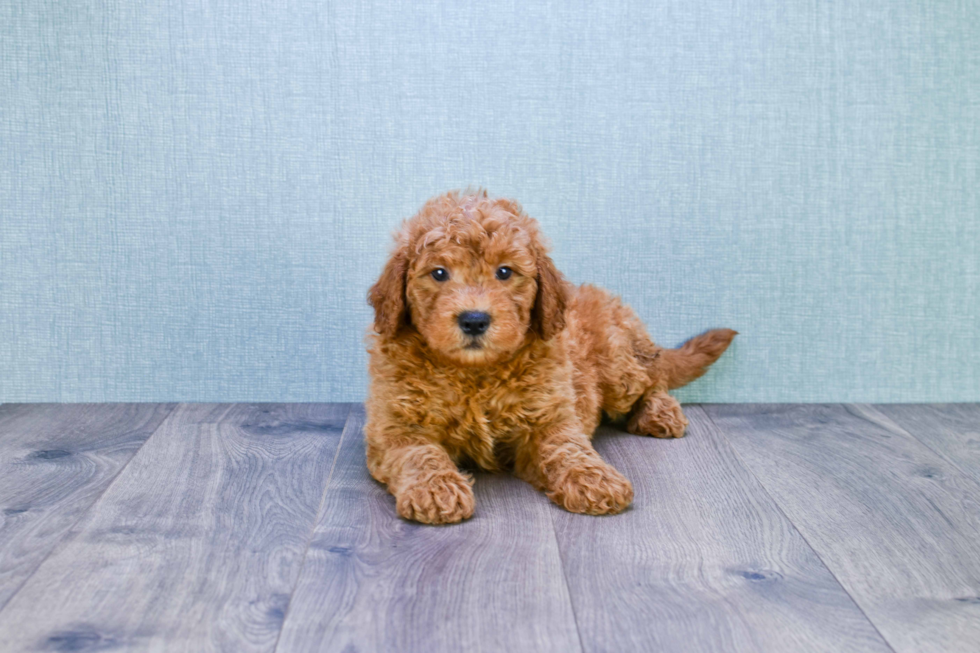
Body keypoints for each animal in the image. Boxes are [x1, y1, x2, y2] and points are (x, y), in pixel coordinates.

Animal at [368, 190, 736, 524]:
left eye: (505, 272)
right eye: (439, 273)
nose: (474, 319)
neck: (475, 373)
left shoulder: (549, 416)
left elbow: (567, 447)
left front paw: (593, 479)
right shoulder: (393, 427)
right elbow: (419, 452)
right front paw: (435, 489)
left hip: (618, 365)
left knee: (653, 376)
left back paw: (660, 412)